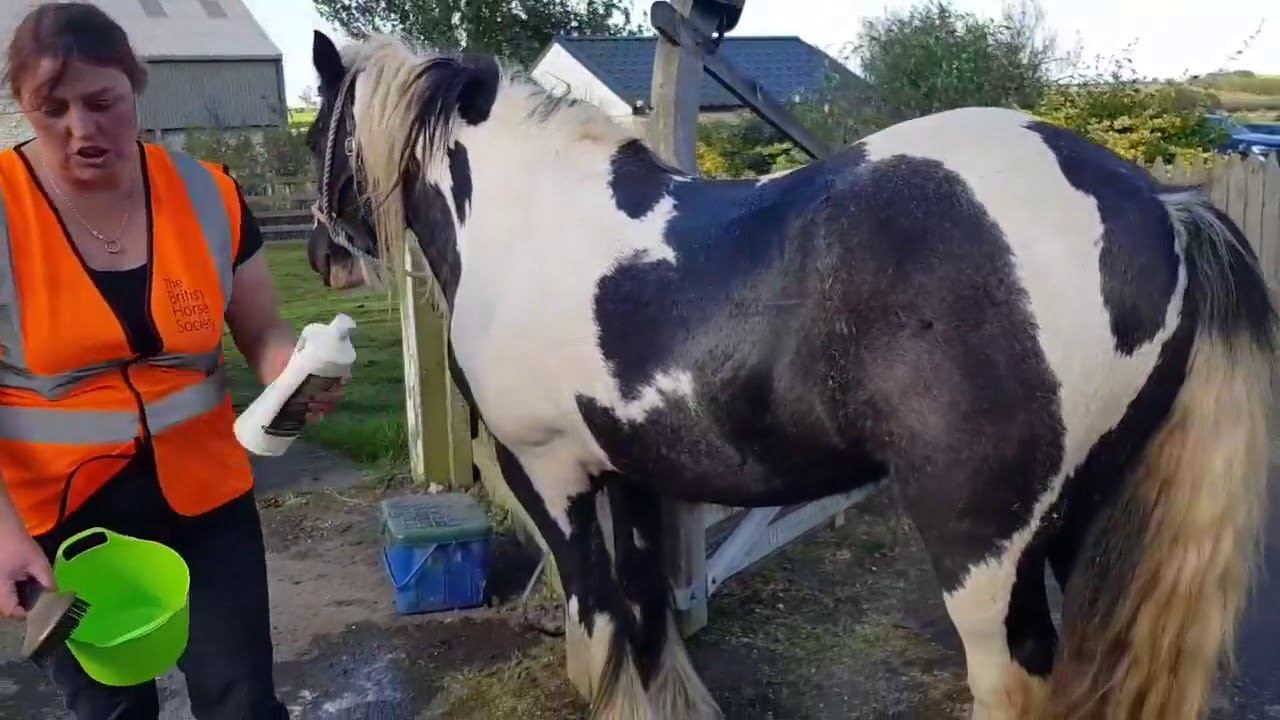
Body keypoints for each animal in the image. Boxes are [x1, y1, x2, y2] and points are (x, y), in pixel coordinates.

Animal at [299, 29, 1276, 720]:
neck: (527, 221)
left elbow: (601, 619)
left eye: (319, 136)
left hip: (985, 552)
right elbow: (648, 620)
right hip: (1073, 528)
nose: (320, 257)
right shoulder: (636, 473)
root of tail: (1160, 205)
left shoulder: (549, 475)